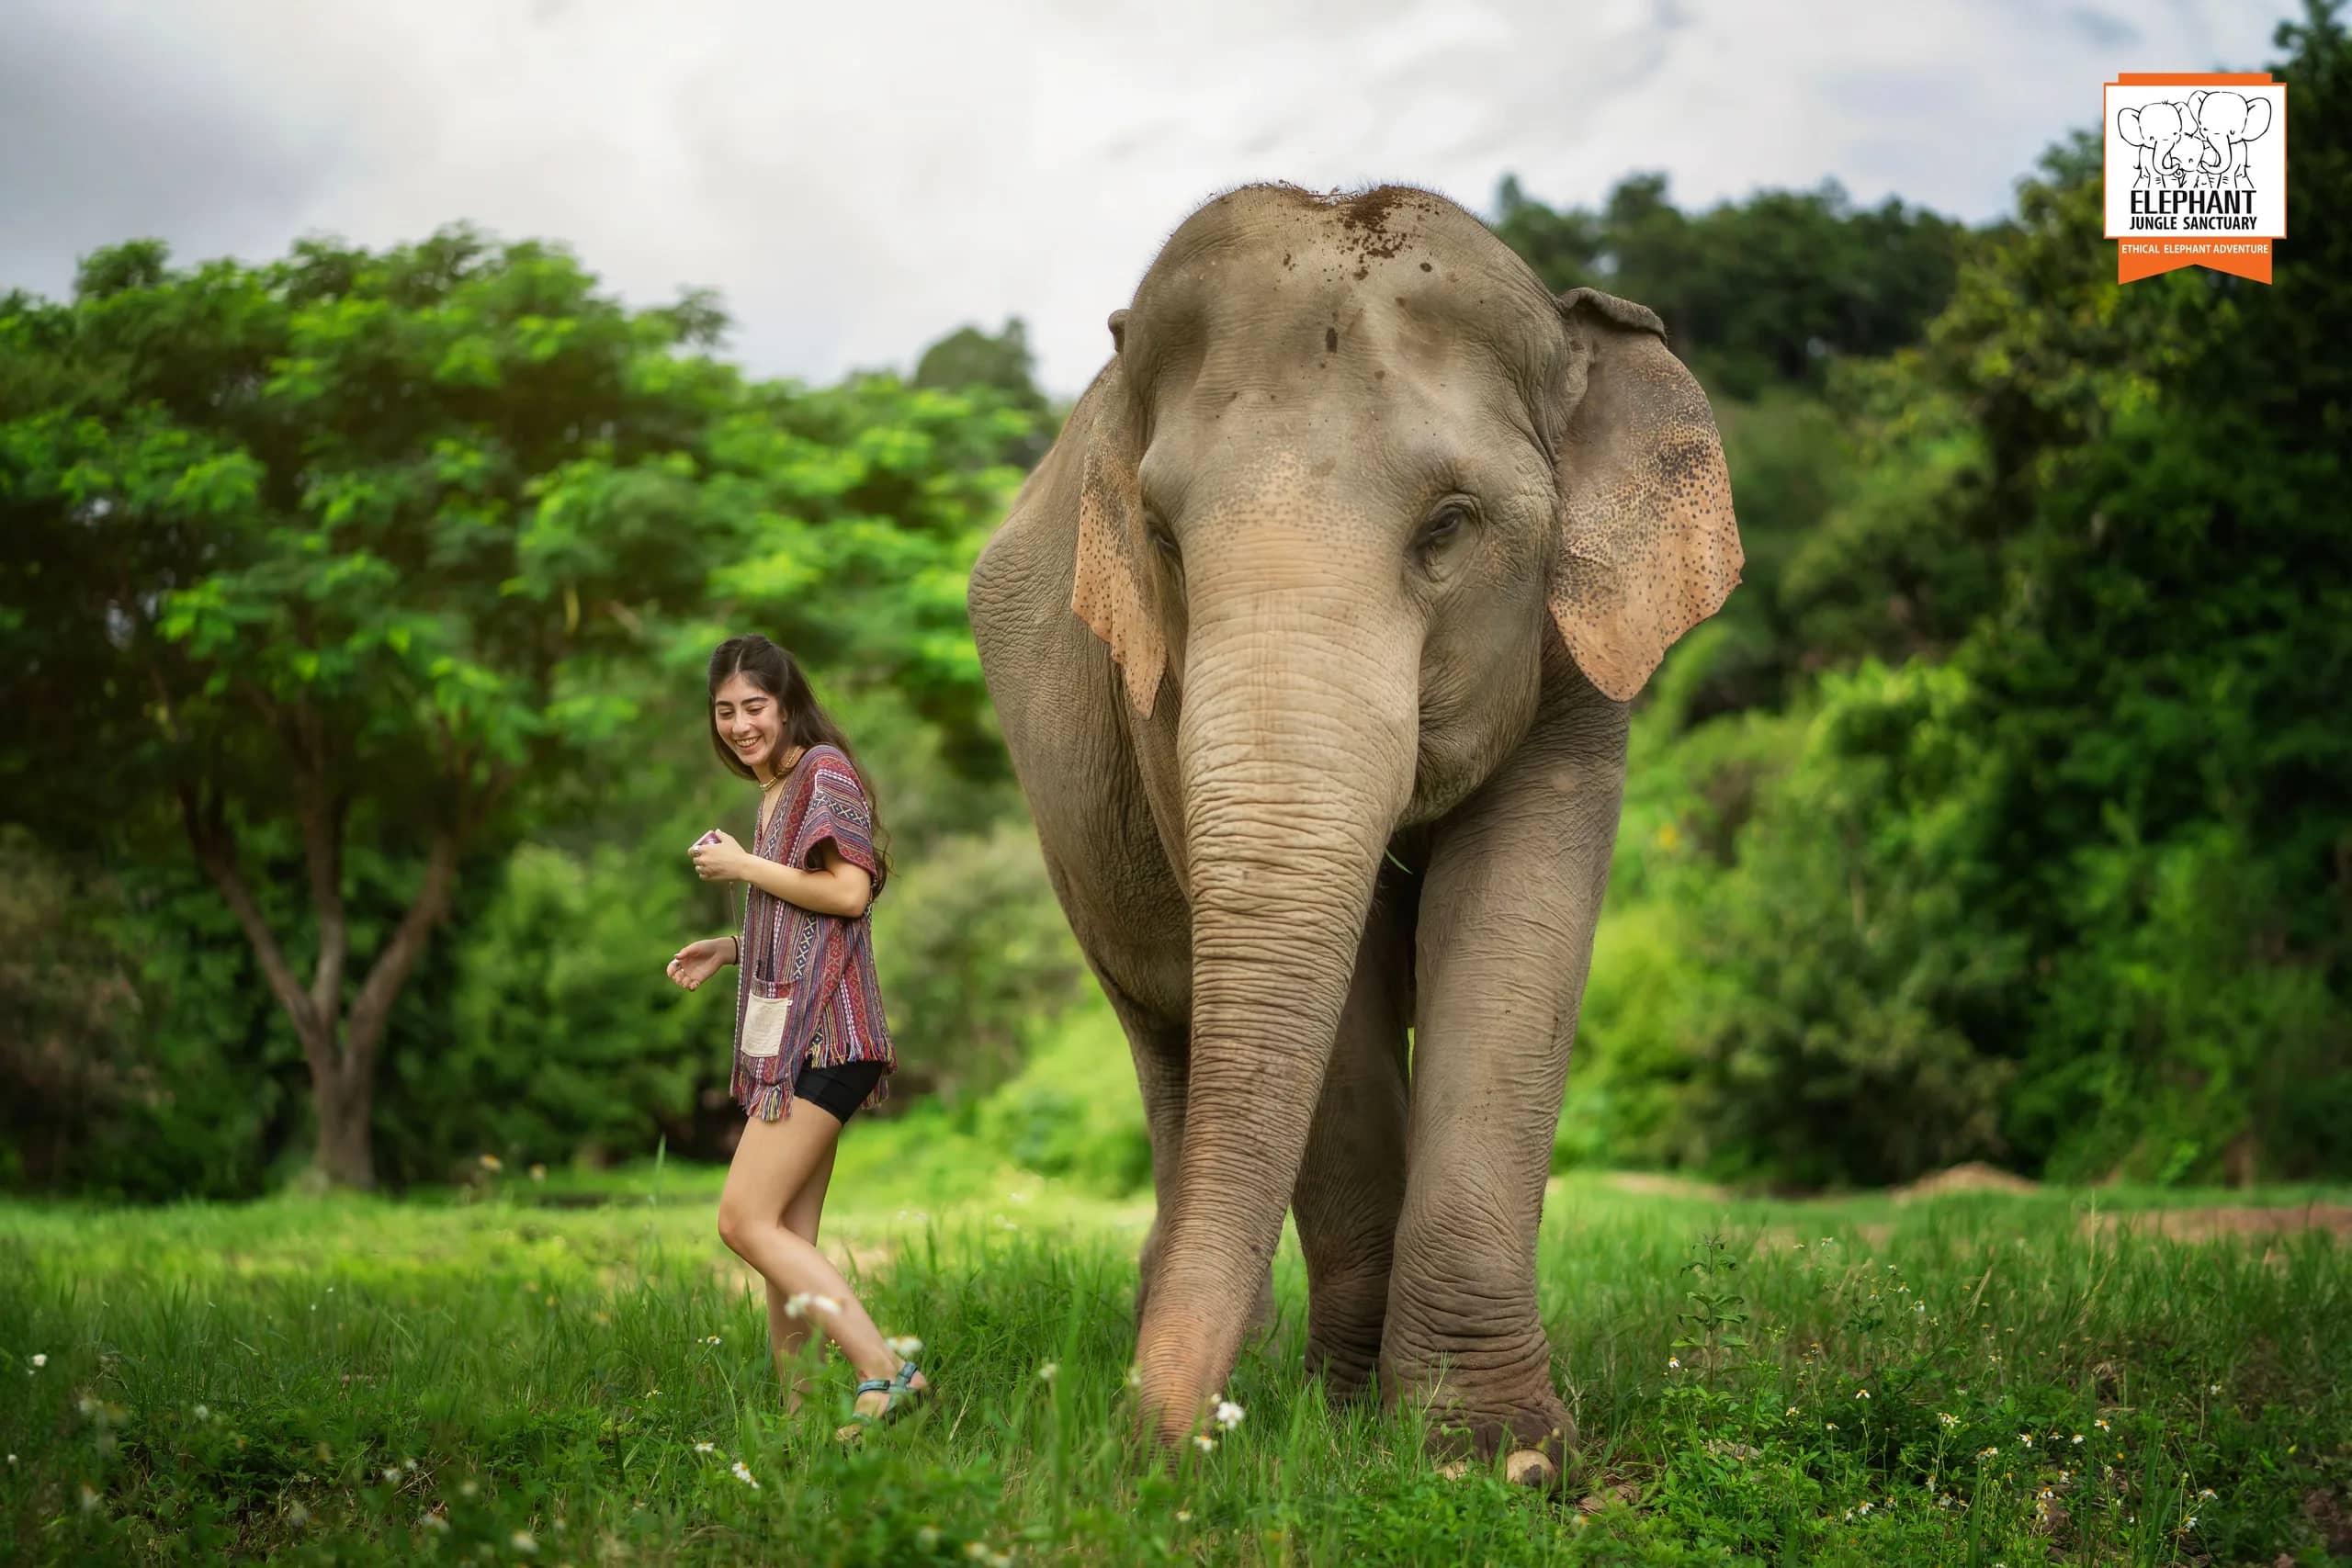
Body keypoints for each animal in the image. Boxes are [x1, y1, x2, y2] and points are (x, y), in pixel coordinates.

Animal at [965, 182, 1741, 1483]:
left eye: (1449, 526)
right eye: (1162, 539)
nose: (1144, 1450)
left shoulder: (1580, 667)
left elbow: (1516, 931)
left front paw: (1494, 1456)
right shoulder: (1155, 699)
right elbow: (1341, 981)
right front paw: (1351, 1417)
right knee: (1166, 1037)